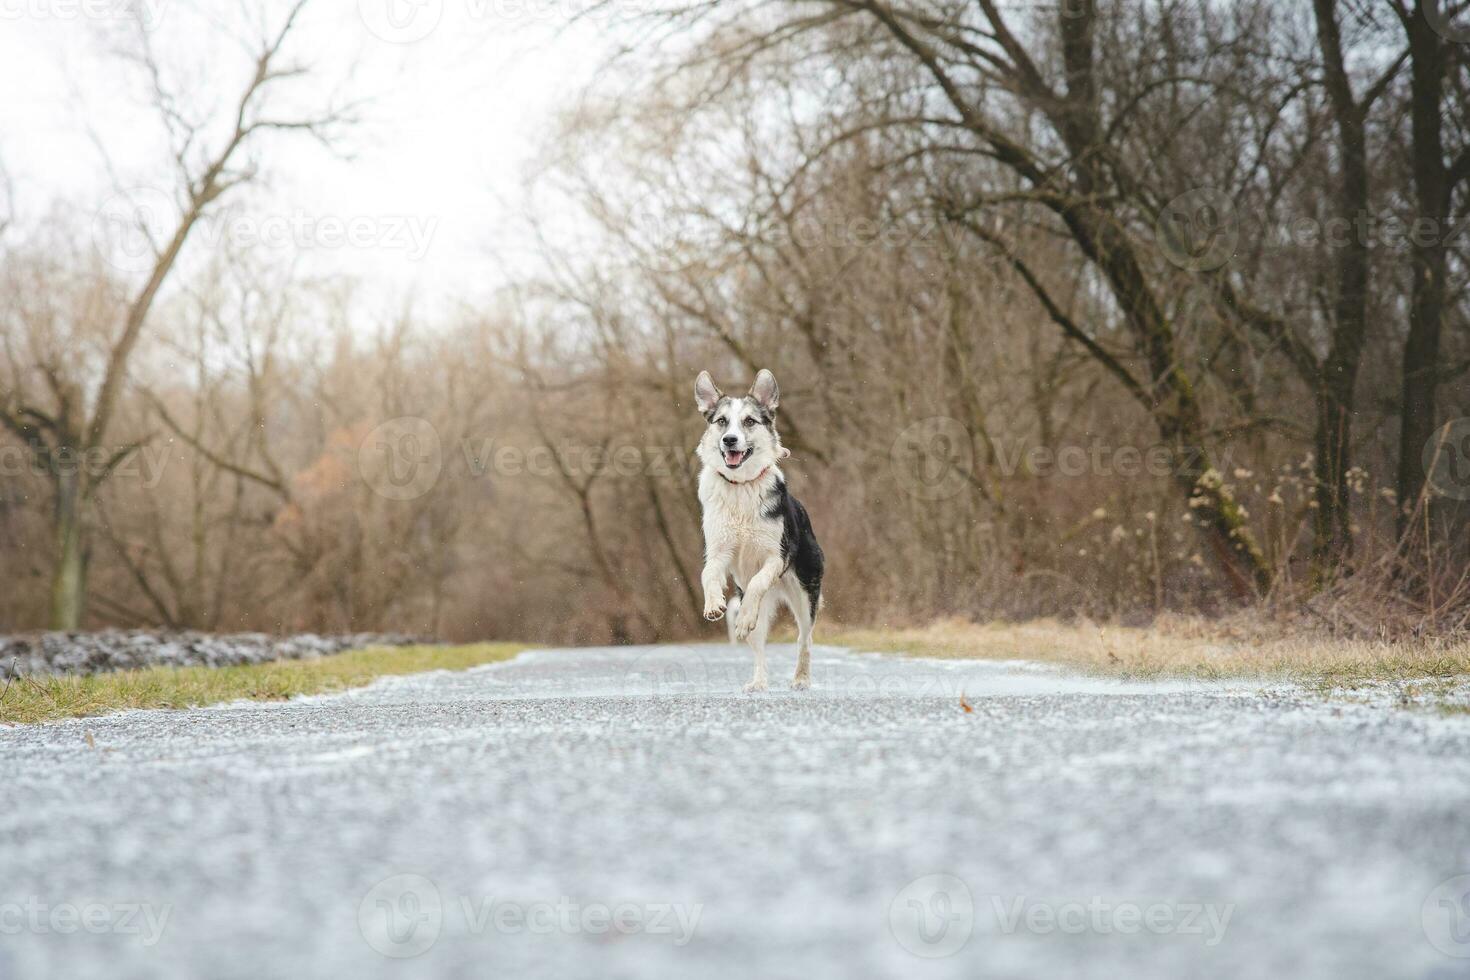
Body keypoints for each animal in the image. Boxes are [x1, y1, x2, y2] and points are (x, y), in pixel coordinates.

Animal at [690, 371, 823, 693]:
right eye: (721, 421)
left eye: (749, 421)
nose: (729, 440)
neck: (741, 486)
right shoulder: (719, 553)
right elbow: (707, 575)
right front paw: (713, 604)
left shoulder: (776, 557)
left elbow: (757, 583)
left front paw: (743, 614)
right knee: (758, 645)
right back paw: (758, 682)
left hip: (805, 595)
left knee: (804, 638)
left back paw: (801, 678)